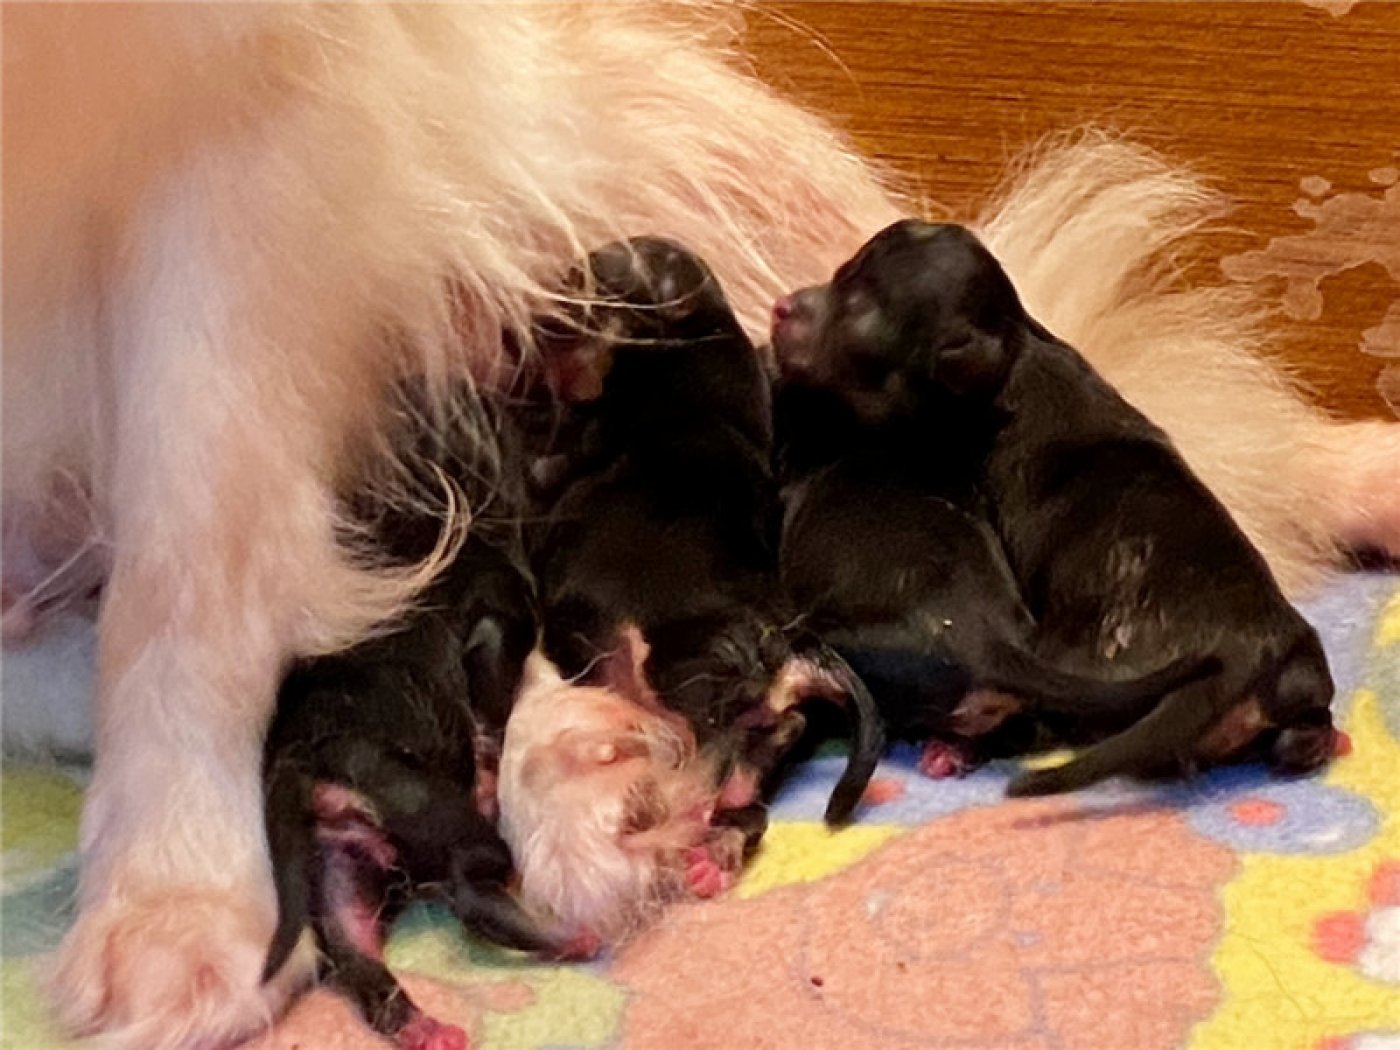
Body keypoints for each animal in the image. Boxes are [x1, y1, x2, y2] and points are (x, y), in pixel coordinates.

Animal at [497, 237, 880, 943]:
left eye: (592, 279)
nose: (526, 322)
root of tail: (792, 644)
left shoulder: (546, 476)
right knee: (768, 747)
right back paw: (720, 836)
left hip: (681, 675)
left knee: (713, 746)